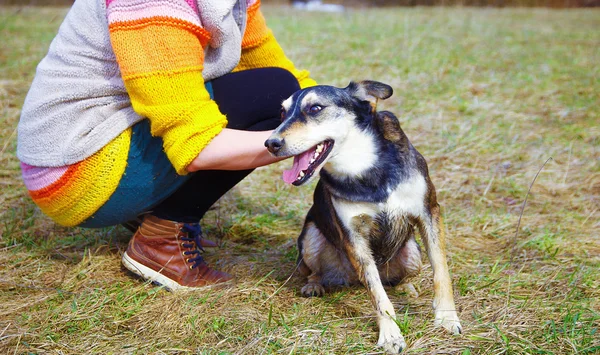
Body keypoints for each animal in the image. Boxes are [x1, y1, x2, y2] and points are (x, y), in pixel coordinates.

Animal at [264, 80, 462, 354]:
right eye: (282, 113)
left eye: (315, 108)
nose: (270, 143)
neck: (363, 165)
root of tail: (349, 278)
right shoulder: (353, 236)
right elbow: (377, 293)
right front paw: (390, 335)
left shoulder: (429, 212)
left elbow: (441, 272)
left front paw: (447, 318)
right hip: (311, 238)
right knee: (316, 271)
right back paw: (314, 285)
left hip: (413, 253)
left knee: (397, 278)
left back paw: (406, 286)